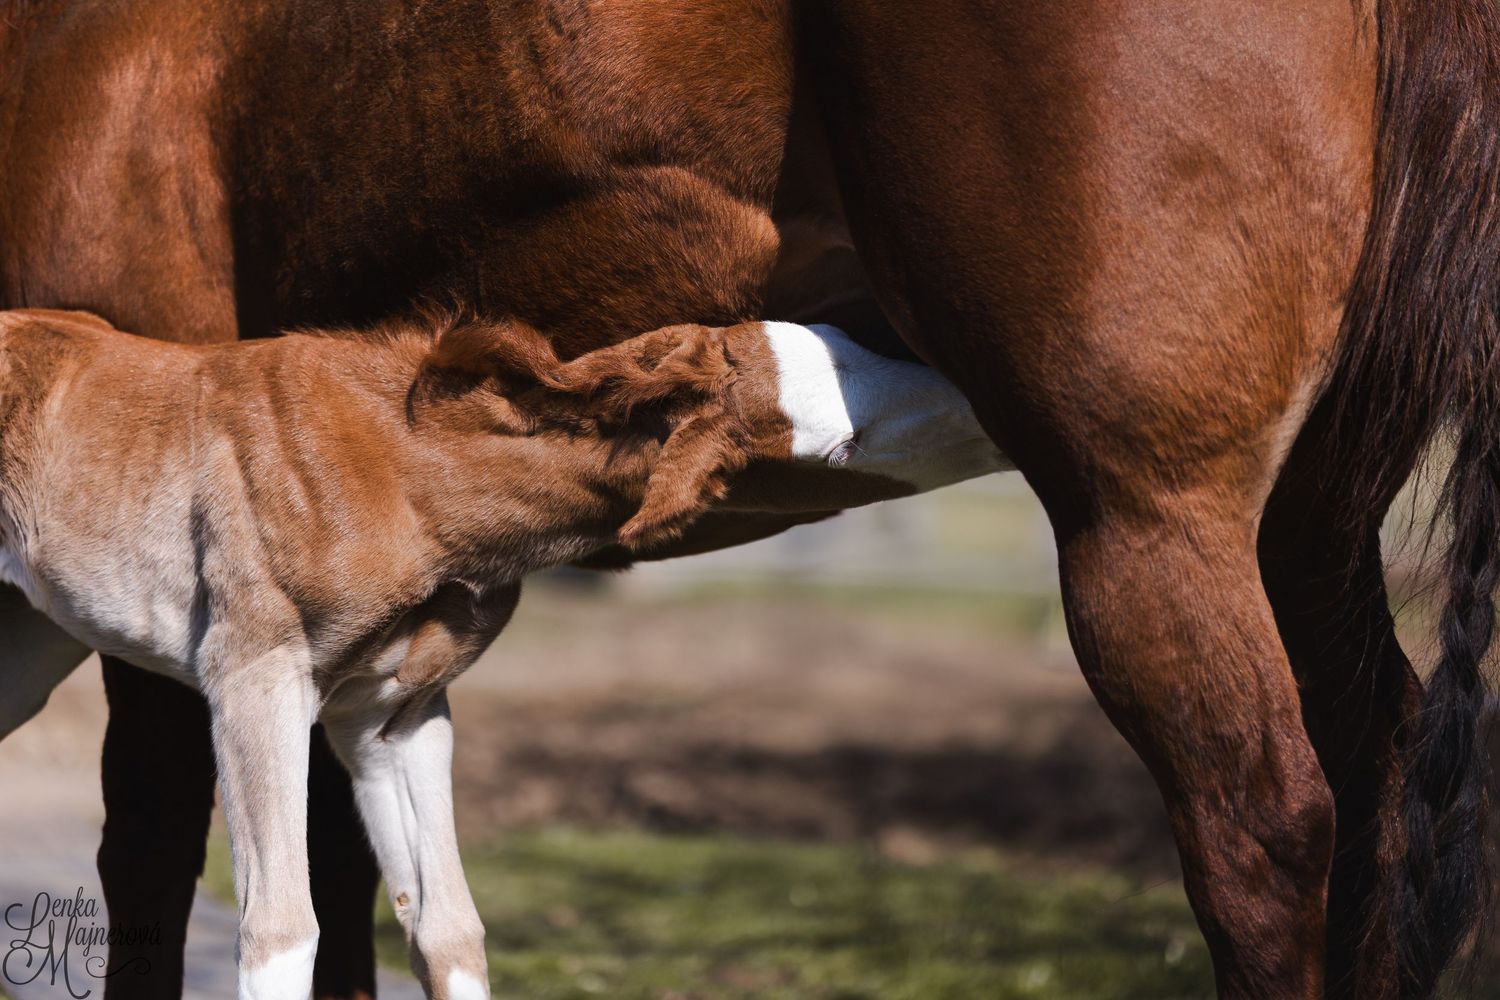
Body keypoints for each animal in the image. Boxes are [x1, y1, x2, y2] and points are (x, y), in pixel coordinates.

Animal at [2, 1, 1497, 998]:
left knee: (1260, 829)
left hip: (1145, 510)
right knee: (1382, 792)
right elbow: (342, 873)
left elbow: (159, 857)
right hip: (1305, 522)